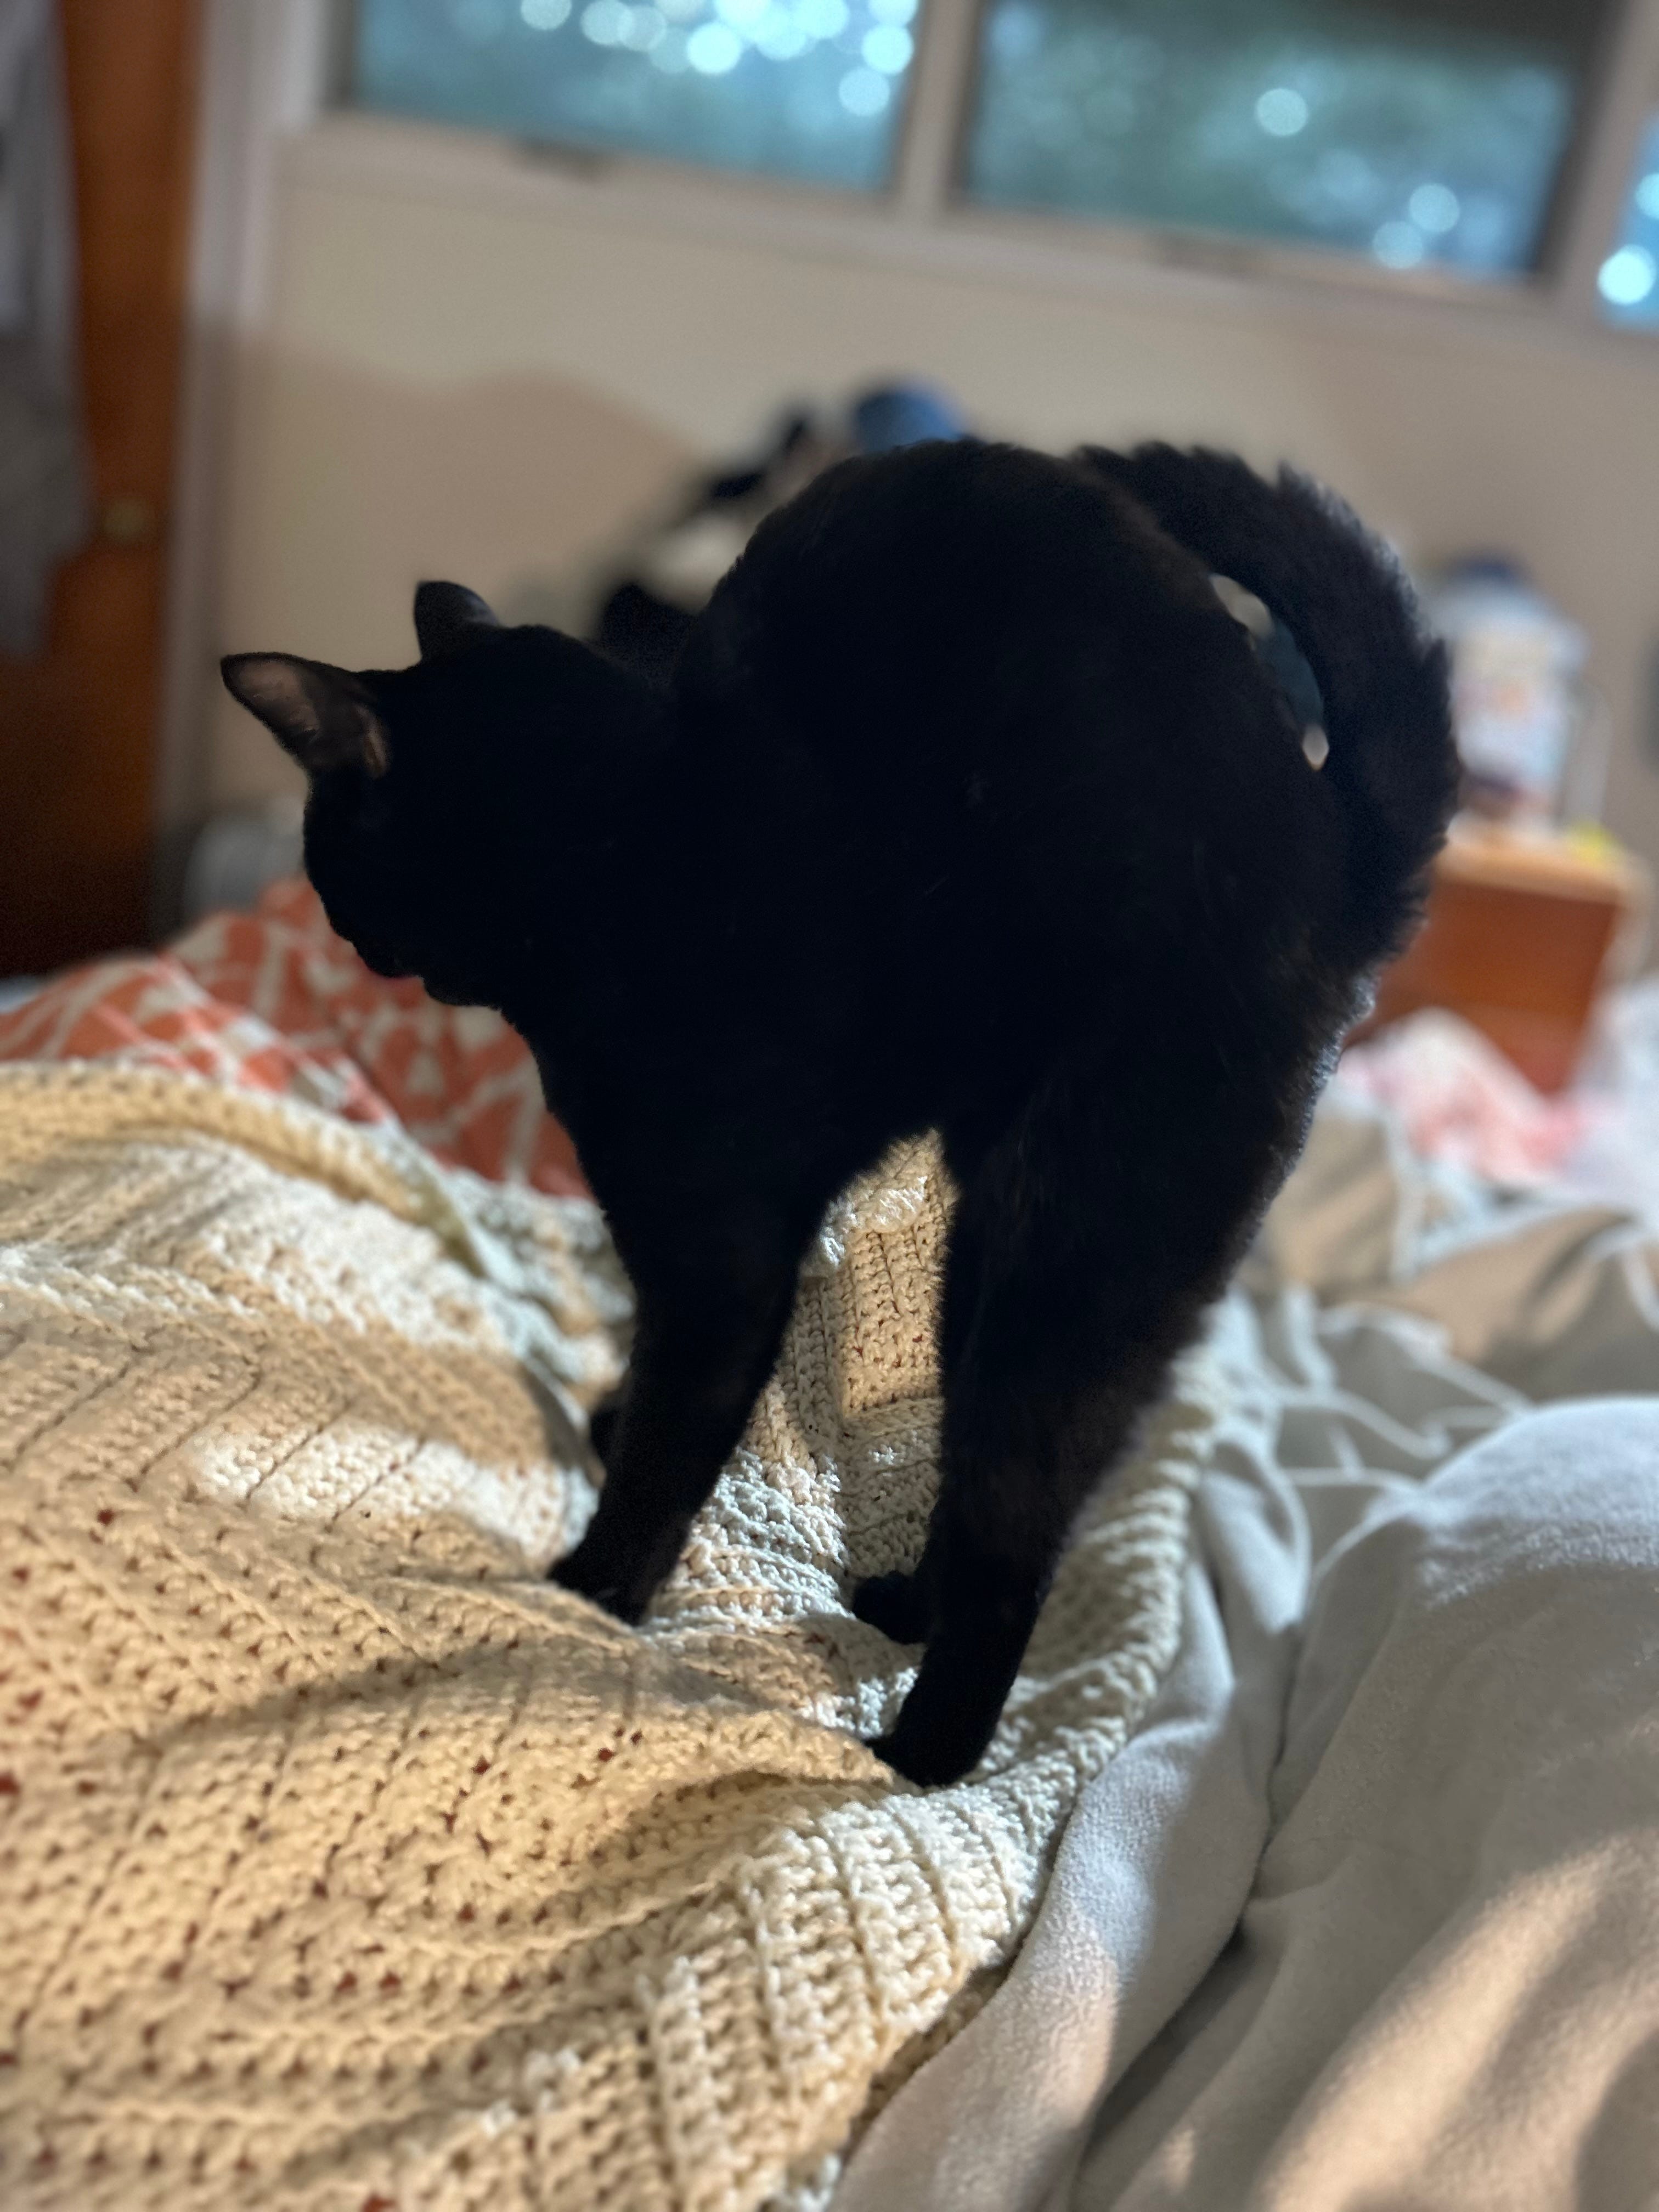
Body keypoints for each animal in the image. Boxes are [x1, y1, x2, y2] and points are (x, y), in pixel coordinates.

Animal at [221, 441, 1457, 1787]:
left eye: (329, 852)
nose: (344, 927)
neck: (623, 844)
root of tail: (1336, 852)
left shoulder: (721, 1258)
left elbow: (671, 1442)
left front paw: (589, 1595)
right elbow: (649, 1389)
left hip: (1075, 1248)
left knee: (1020, 1537)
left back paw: (918, 1758)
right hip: (988, 1260)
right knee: (984, 1486)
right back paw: (905, 1606)